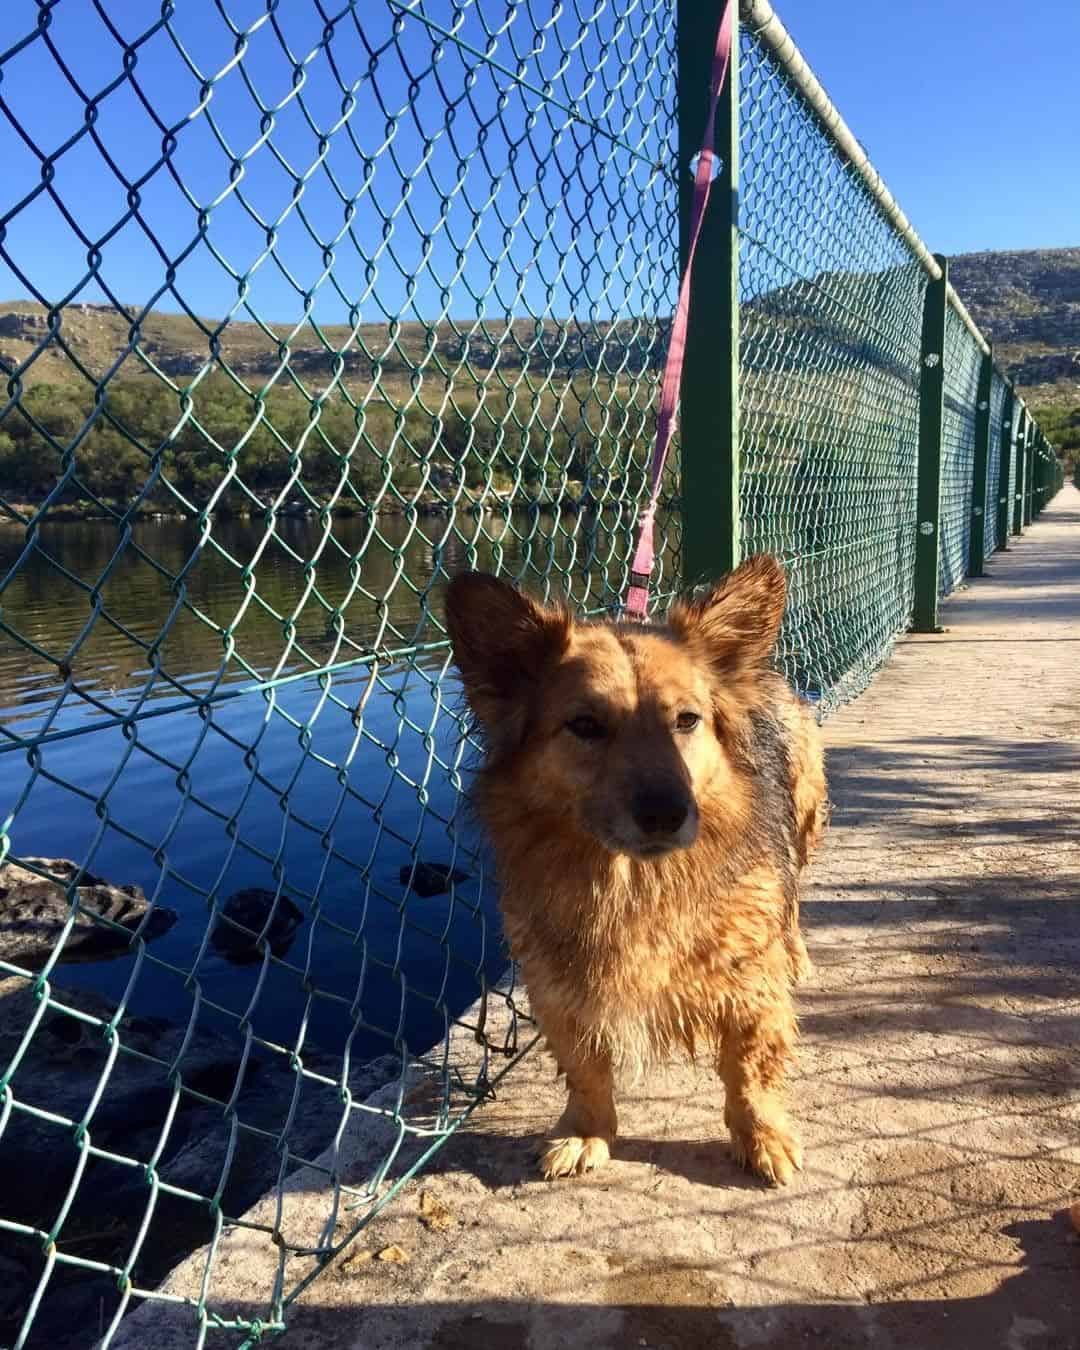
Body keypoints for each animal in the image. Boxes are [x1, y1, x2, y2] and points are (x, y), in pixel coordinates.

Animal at [445, 553, 826, 1188]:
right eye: (585, 725)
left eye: (688, 720)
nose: (667, 814)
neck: (633, 883)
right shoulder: (560, 984)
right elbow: (585, 1070)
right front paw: (586, 1130)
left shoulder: (749, 986)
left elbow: (750, 1070)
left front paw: (761, 1135)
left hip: (804, 818)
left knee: (792, 895)